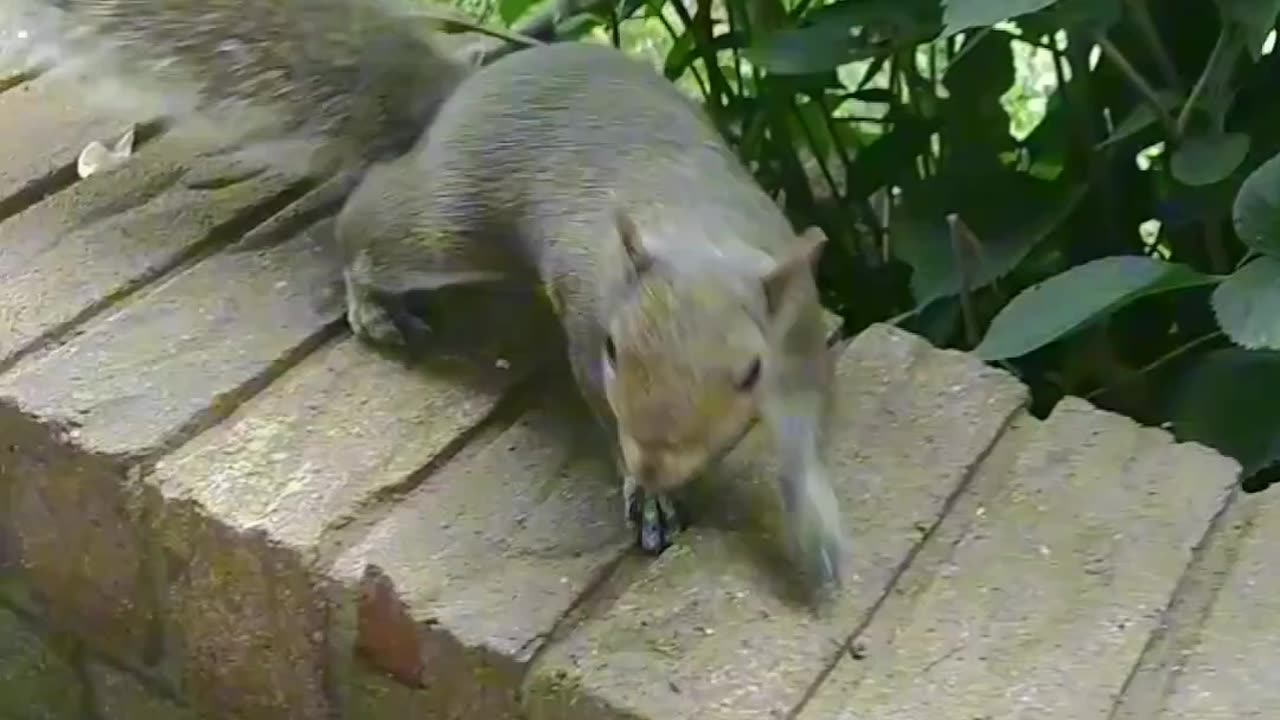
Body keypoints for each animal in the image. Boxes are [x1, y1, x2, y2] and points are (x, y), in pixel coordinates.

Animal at [10, 1, 855, 594]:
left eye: (747, 373)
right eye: (616, 350)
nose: (653, 462)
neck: (692, 222)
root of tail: (457, 95)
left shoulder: (800, 341)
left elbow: (807, 438)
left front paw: (818, 535)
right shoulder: (587, 317)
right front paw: (644, 494)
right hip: (444, 222)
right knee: (366, 224)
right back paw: (372, 304)